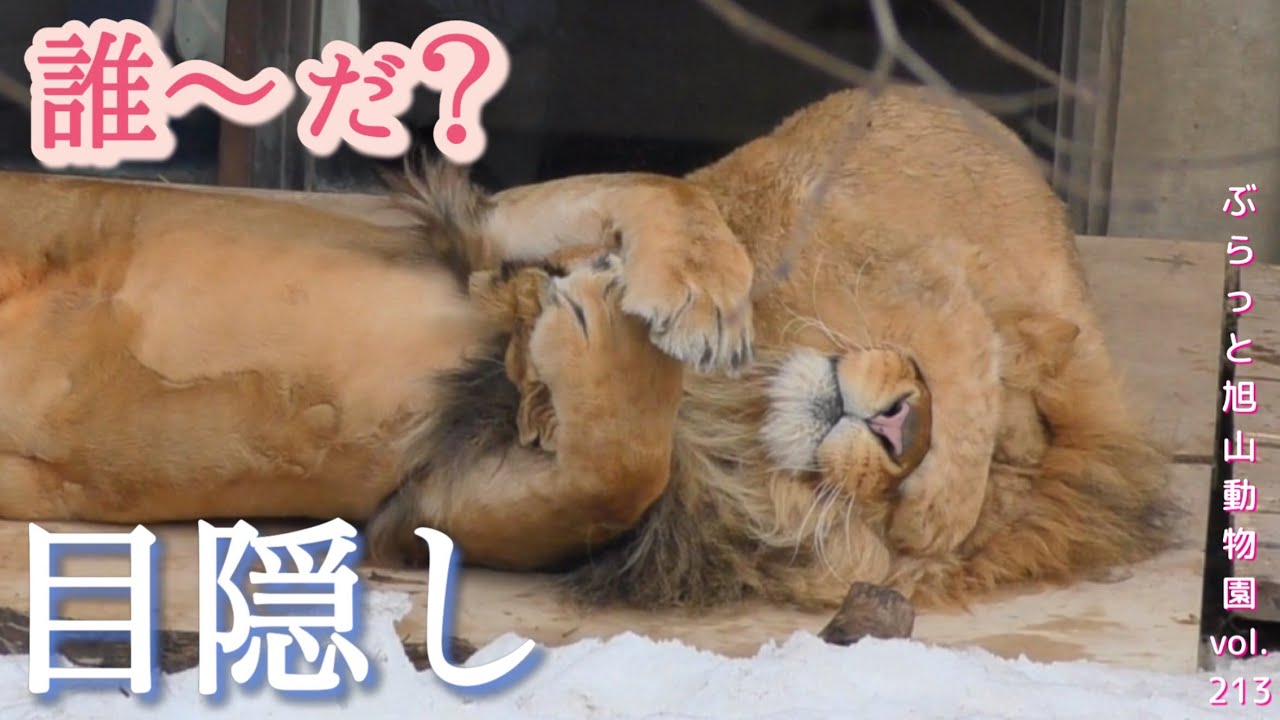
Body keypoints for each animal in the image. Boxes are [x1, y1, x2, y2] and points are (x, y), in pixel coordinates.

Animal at [0, 86, 1173, 624]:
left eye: (895, 509)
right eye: (958, 428)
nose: (900, 428)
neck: (732, 419)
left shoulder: (422, 506)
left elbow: (615, 470)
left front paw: (601, 345)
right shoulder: (498, 221)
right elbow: (666, 194)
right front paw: (673, 301)